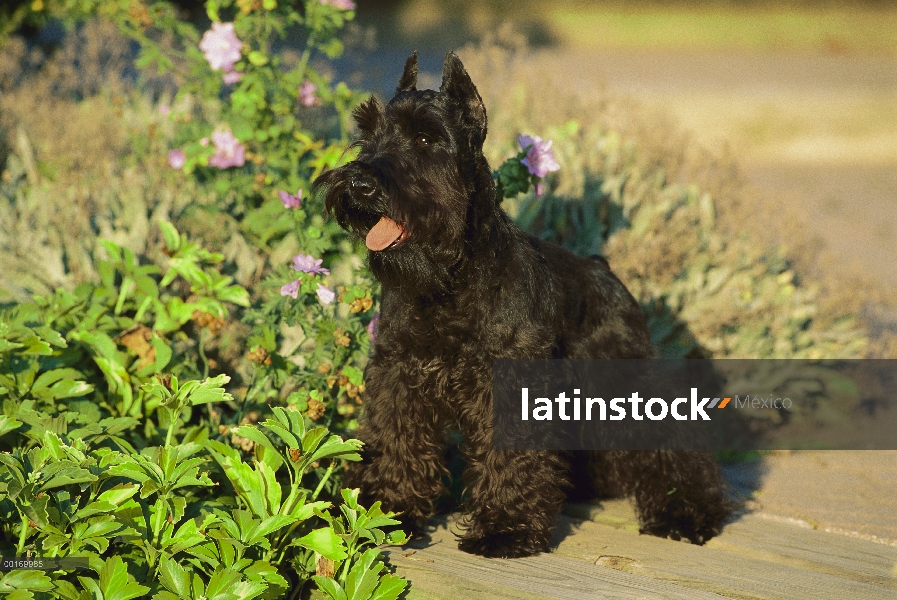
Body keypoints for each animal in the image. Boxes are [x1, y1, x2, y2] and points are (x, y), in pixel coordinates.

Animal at [312, 50, 732, 556]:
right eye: (369, 132)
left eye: (425, 138)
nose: (359, 182)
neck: (451, 280)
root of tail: (604, 268)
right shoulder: (399, 373)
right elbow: (396, 440)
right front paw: (386, 513)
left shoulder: (509, 383)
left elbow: (509, 455)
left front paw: (504, 528)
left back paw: (687, 512)